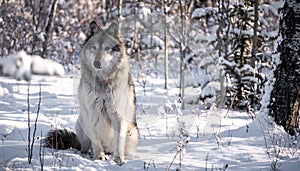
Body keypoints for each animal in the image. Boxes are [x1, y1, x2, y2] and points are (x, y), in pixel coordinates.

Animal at [44, 20, 139, 165]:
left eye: (107, 48)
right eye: (94, 47)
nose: (97, 63)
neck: (102, 81)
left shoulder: (118, 115)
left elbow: (118, 142)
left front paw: (118, 160)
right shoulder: (92, 112)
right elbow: (95, 140)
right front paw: (99, 156)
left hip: (132, 133)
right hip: (81, 123)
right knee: (83, 147)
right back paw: (87, 154)